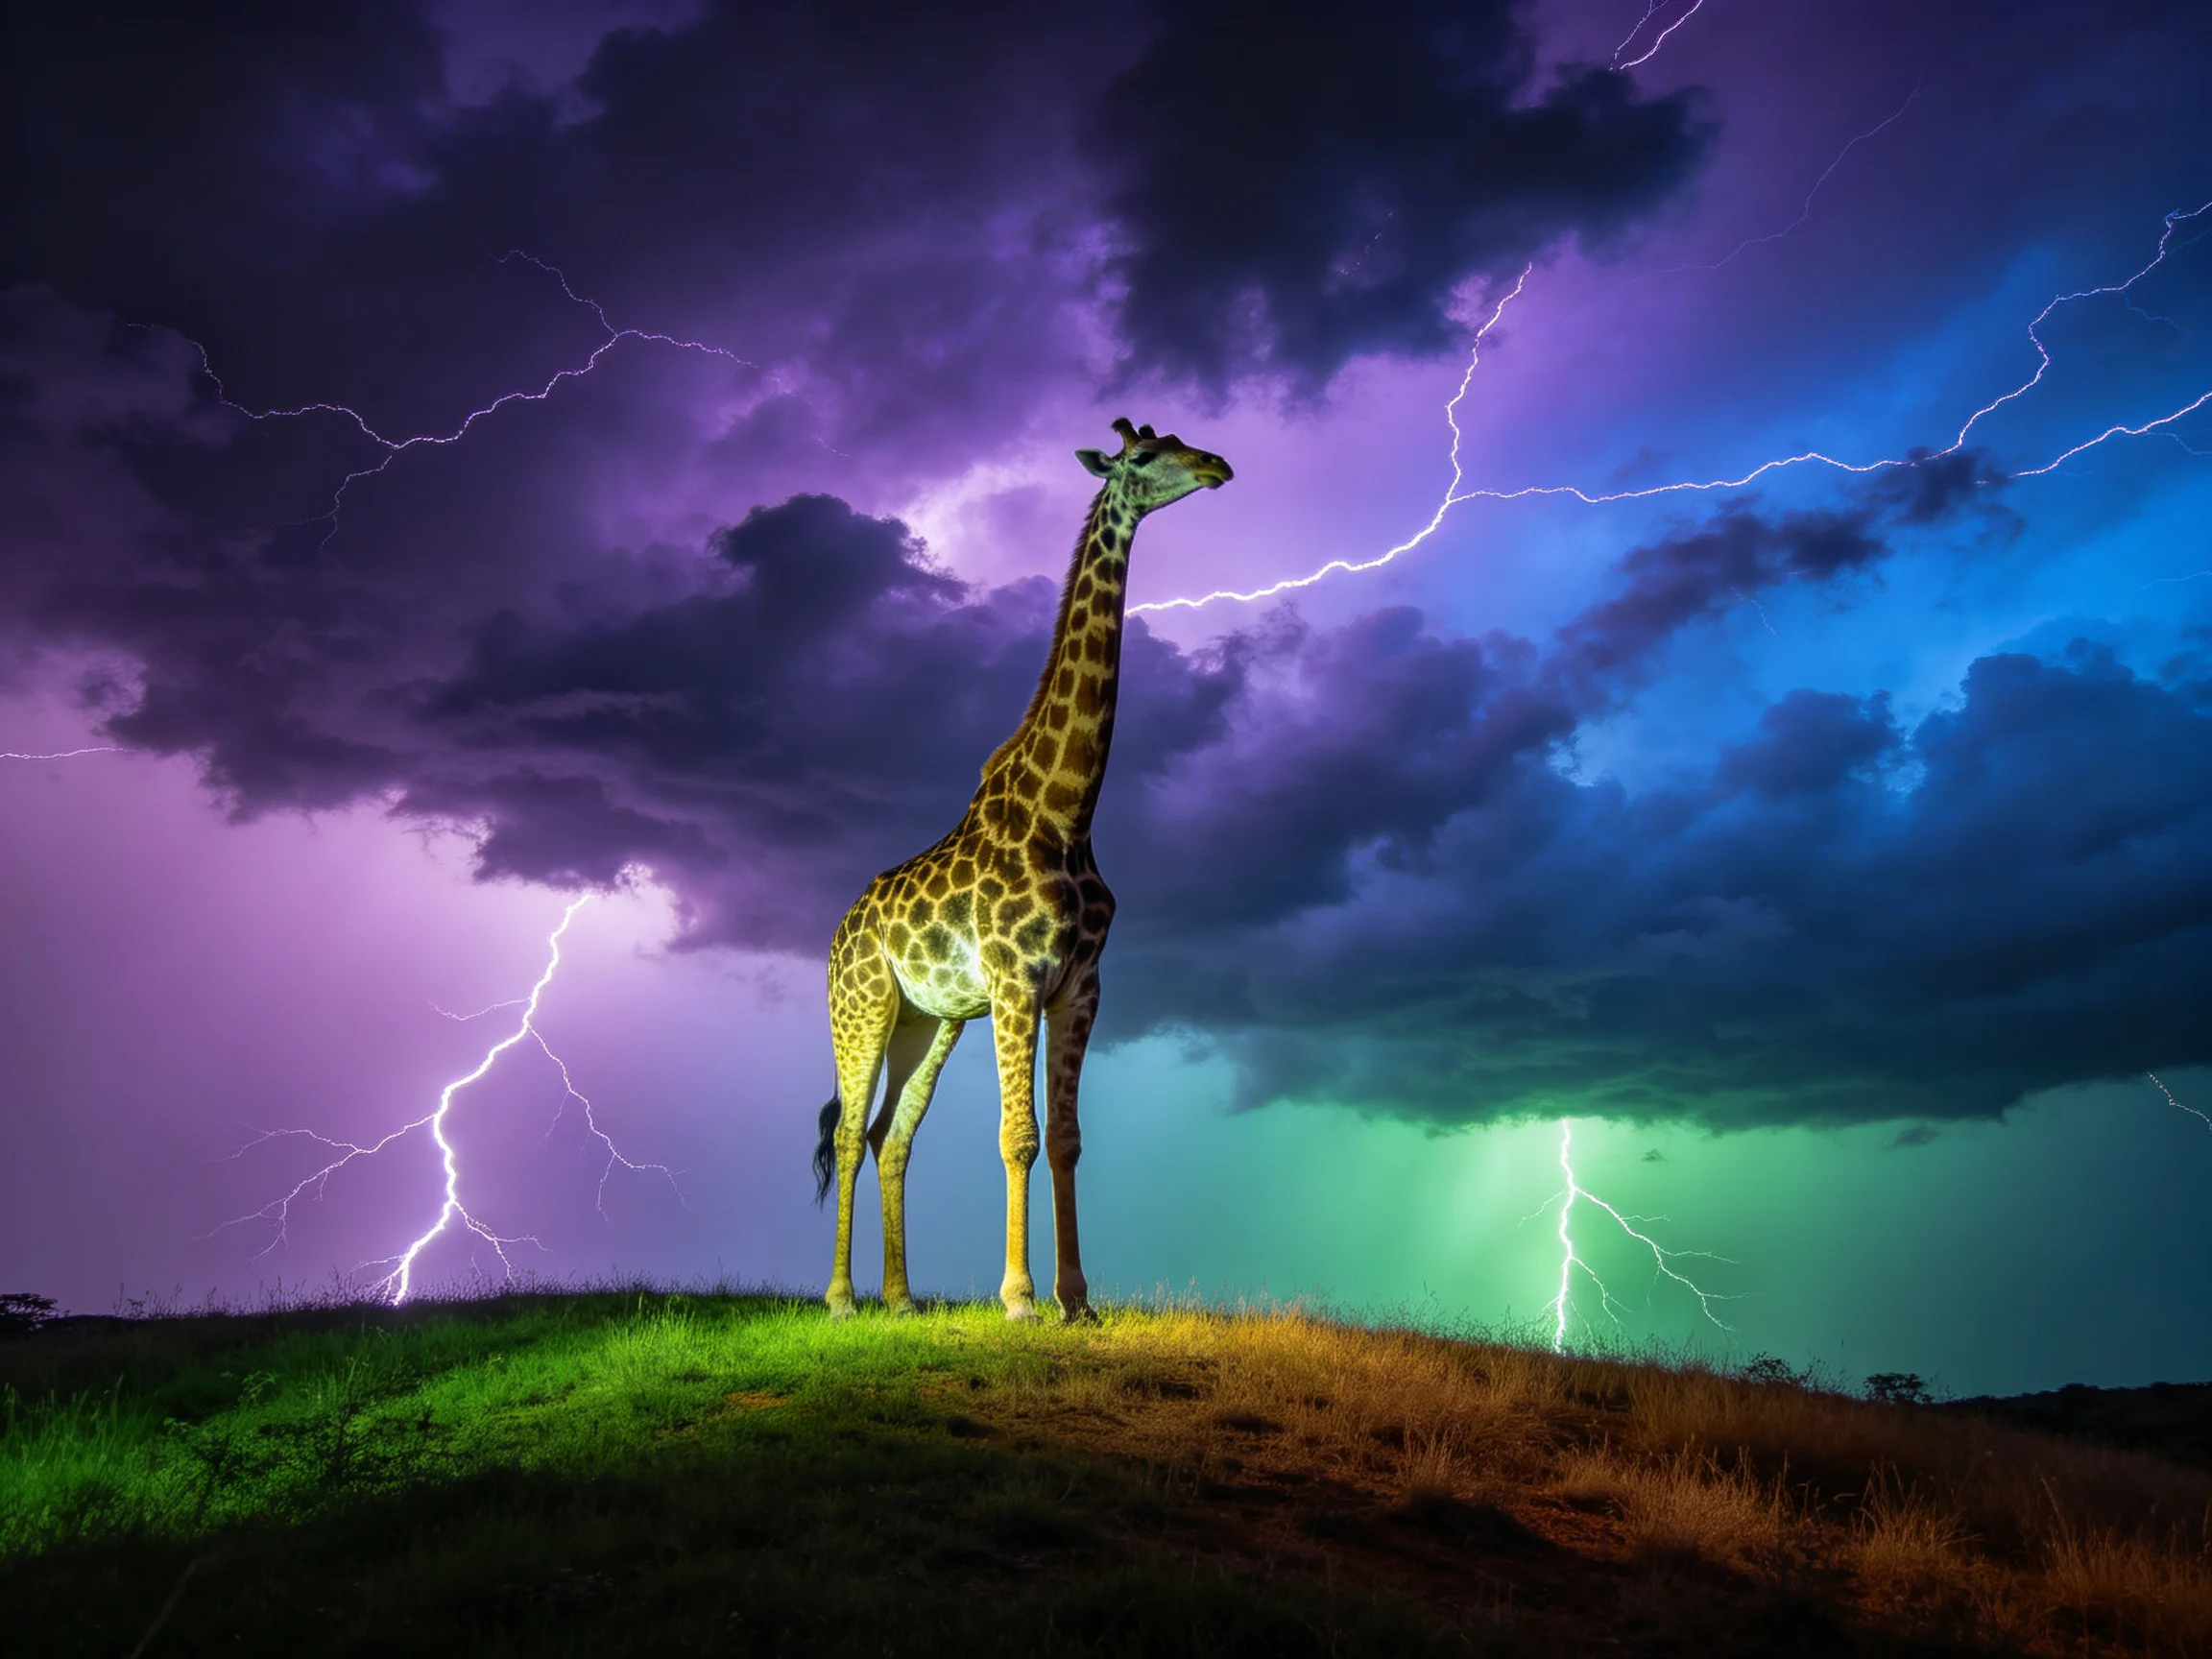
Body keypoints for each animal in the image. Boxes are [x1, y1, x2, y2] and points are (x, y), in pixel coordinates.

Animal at [812, 417, 1232, 1321]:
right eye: (1145, 456)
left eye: (1186, 440)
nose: (1218, 465)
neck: (1066, 811)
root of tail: (837, 932)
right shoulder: (1016, 980)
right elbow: (1019, 1136)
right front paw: (1019, 1299)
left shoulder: (1080, 985)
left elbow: (1067, 1140)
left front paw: (1079, 1301)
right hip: (860, 1007)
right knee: (847, 1131)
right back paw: (841, 1299)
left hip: (929, 1021)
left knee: (890, 1135)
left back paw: (901, 1300)